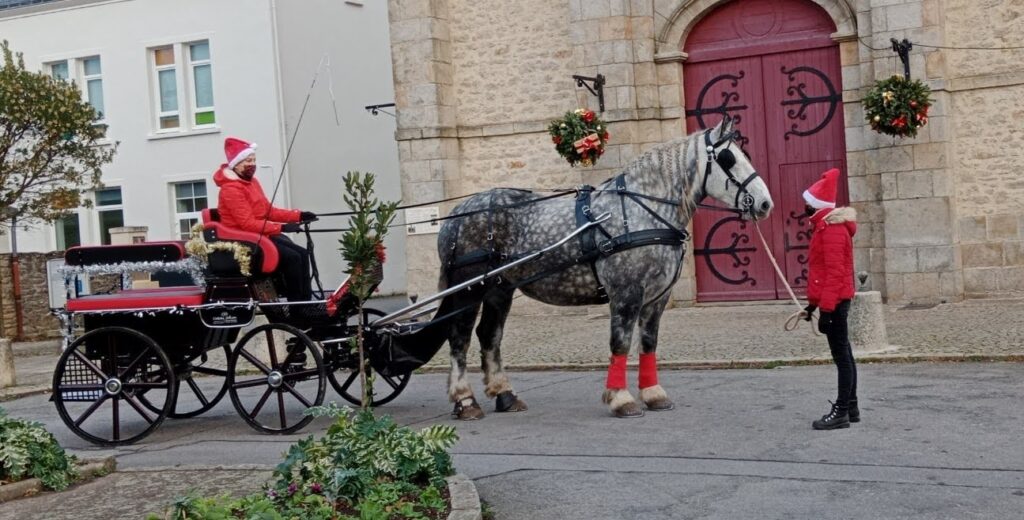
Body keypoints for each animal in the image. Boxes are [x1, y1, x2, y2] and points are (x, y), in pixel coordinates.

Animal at [436, 116, 770, 417]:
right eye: (728, 158)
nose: (765, 203)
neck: (640, 210)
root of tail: (457, 213)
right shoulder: (626, 293)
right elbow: (620, 344)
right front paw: (621, 399)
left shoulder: (657, 297)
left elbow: (648, 343)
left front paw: (654, 394)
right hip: (468, 288)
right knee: (460, 338)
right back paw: (465, 400)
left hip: (499, 290)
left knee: (489, 335)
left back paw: (504, 395)